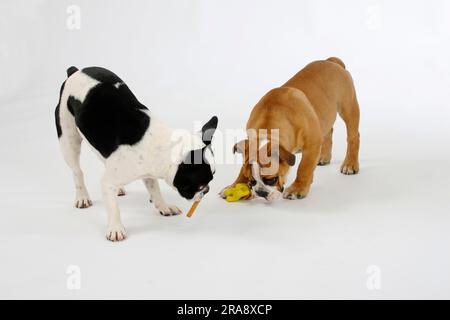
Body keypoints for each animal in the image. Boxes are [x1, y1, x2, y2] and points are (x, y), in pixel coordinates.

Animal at [55, 66, 217, 241]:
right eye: (199, 185)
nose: (207, 190)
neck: (162, 147)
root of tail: (75, 71)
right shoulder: (109, 182)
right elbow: (113, 207)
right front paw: (115, 228)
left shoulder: (148, 172)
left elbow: (154, 189)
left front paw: (164, 206)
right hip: (68, 139)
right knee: (77, 171)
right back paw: (82, 197)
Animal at [223, 57, 360, 201]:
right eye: (252, 181)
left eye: (271, 179)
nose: (260, 192)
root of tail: (331, 61)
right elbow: (242, 168)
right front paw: (235, 185)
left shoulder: (312, 145)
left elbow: (304, 168)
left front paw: (298, 189)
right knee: (328, 133)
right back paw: (324, 157)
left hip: (349, 108)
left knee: (353, 137)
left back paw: (350, 164)